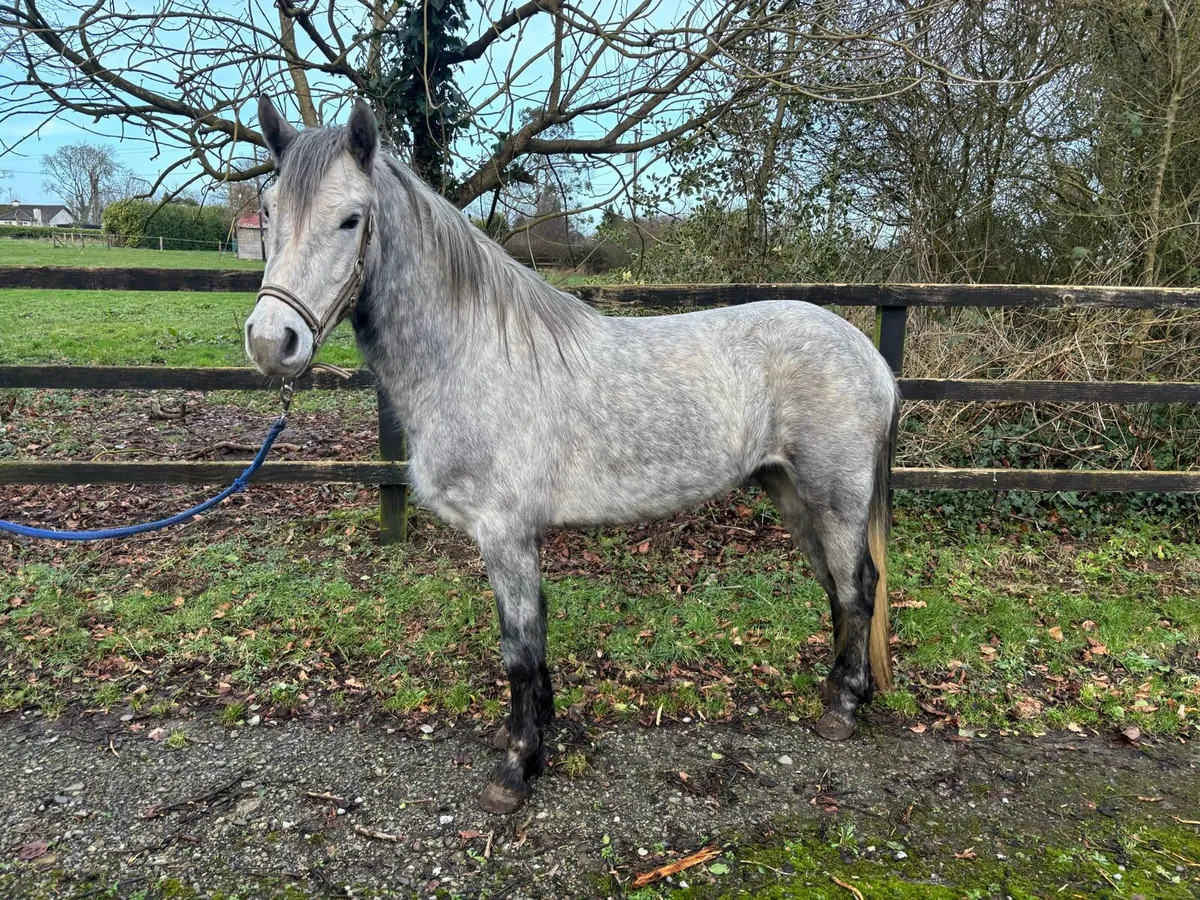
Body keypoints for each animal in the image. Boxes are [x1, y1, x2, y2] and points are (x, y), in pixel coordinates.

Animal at [244, 97, 901, 815]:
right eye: (268, 211)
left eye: (350, 219)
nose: (272, 342)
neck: (473, 353)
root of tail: (869, 356)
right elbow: (535, 641)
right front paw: (538, 735)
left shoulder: (504, 533)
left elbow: (518, 648)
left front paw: (515, 768)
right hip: (789, 491)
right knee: (836, 587)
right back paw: (838, 691)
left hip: (835, 497)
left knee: (858, 587)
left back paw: (842, 709)